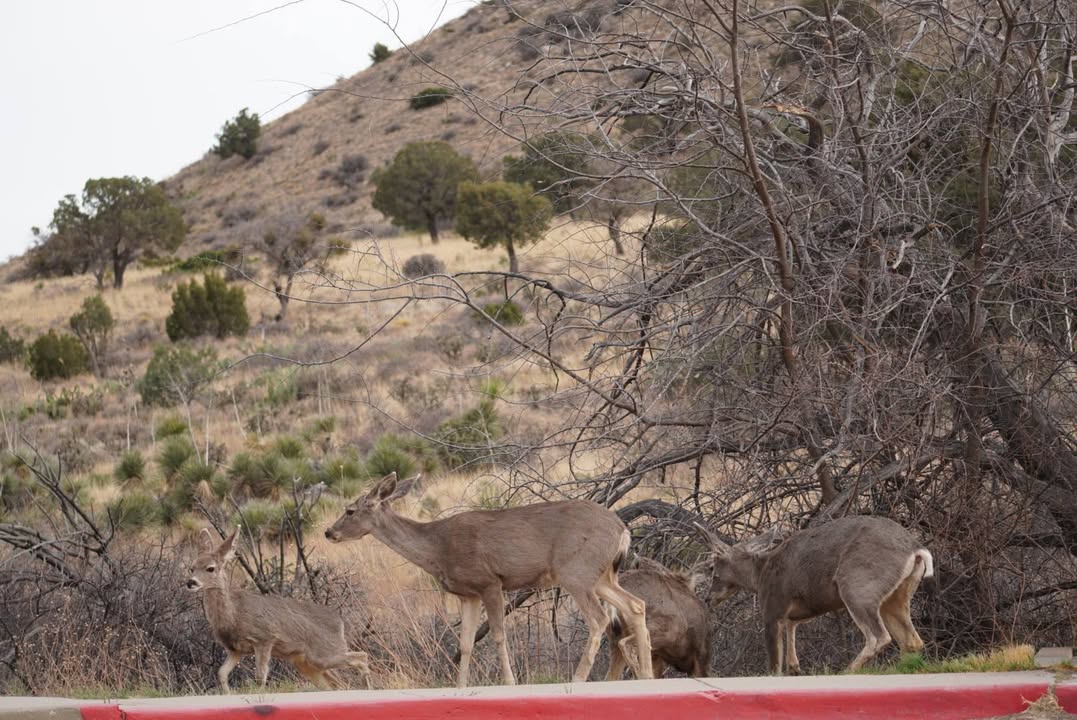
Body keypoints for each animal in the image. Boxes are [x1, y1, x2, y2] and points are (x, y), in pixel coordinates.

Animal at [186, 527, 371, 693]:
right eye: (192, 567)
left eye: (210, 568)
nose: (191, 582)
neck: (234, 614)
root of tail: (340, 622)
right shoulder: (236, 650)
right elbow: (221, 673)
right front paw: (228, 694)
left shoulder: (264, 638)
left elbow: (260, 677)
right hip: (306, 663)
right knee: (339, 683)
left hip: (324, 653)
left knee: (362, 657)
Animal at [324, 472, 653, 687]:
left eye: (349, 510)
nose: (329, 532)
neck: (438, 548)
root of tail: (622, 529)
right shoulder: (468, 594)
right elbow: (467, 642)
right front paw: (460, 688)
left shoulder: (490, 582)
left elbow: (497, 635)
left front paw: (509, 682)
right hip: (603, 575)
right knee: (635, 605)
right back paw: (647, 674)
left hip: (577, 570)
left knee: (600, 618)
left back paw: (578, 679)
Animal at [695, 515, 934, 675]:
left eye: (713, 571)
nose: (707, 598)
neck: (760, 573)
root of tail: (916, 549)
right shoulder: (796, 613)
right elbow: (791, 645)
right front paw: (795, 668)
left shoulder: (773, 608)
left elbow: (774, 664)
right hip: (896, 596)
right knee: (912, 641)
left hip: (858, 585)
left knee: (879, 636)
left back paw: (847, 671)